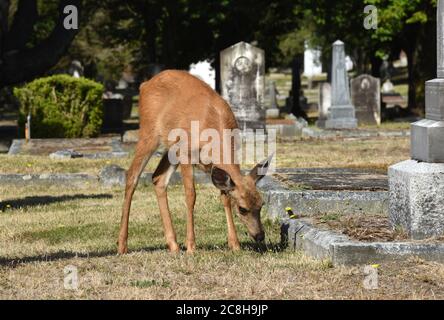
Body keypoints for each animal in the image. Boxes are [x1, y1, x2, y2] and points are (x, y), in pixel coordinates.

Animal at [117, 70, 270, 255]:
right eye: (242, 209)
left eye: (261, 204)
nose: (260, 236)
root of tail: (145, 85)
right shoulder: (186, 154)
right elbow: (191, 195)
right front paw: (191, 246)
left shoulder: (213, 167)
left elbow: (225, 197)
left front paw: (235, 244)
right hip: (149, 133)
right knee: (132, 176)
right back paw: (122, 245)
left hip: (171, 148)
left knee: (158, 178)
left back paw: (173, 245)